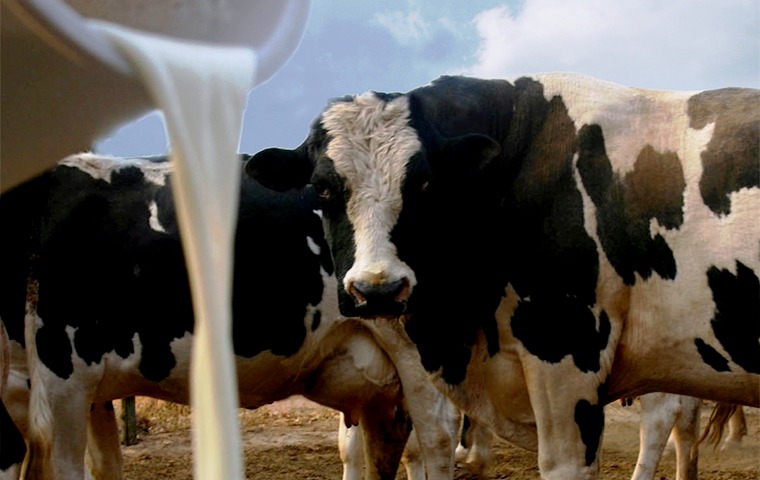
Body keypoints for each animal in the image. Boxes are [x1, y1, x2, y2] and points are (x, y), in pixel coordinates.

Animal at [0, 153, 460, 480]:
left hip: (415, 348)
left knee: (437, 437)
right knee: (388, 442)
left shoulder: (62, 371)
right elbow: (104, 465)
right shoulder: (85, 388)